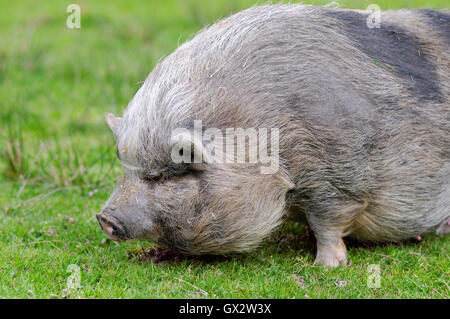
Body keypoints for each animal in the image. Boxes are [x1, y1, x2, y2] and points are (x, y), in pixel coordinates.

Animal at [96, 5, 448, 268]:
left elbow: (328, 223)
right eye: (128, 170)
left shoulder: (339, 177)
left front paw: (325, 267)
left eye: (161, 176)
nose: (104, 217)